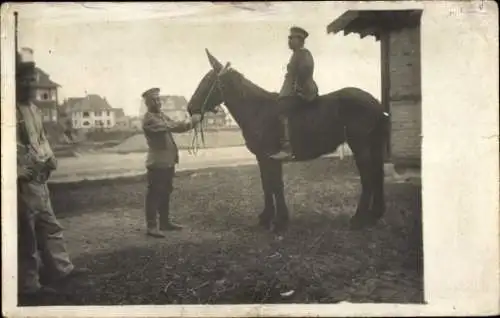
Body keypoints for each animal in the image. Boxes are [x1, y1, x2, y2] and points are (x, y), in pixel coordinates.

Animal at [188, 29, 390, 234]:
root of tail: (375, 102)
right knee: (377, 174)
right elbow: (267, 185)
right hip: (372, 145)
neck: (257, 109)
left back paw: (358, 219)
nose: (190, 108)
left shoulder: (271, 157)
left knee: (368, 177)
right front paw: (266, 217)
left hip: (360, 146)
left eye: (208, 81)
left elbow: (276, 185)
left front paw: (279, 221)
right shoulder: (262, 158)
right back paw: (374, 214)